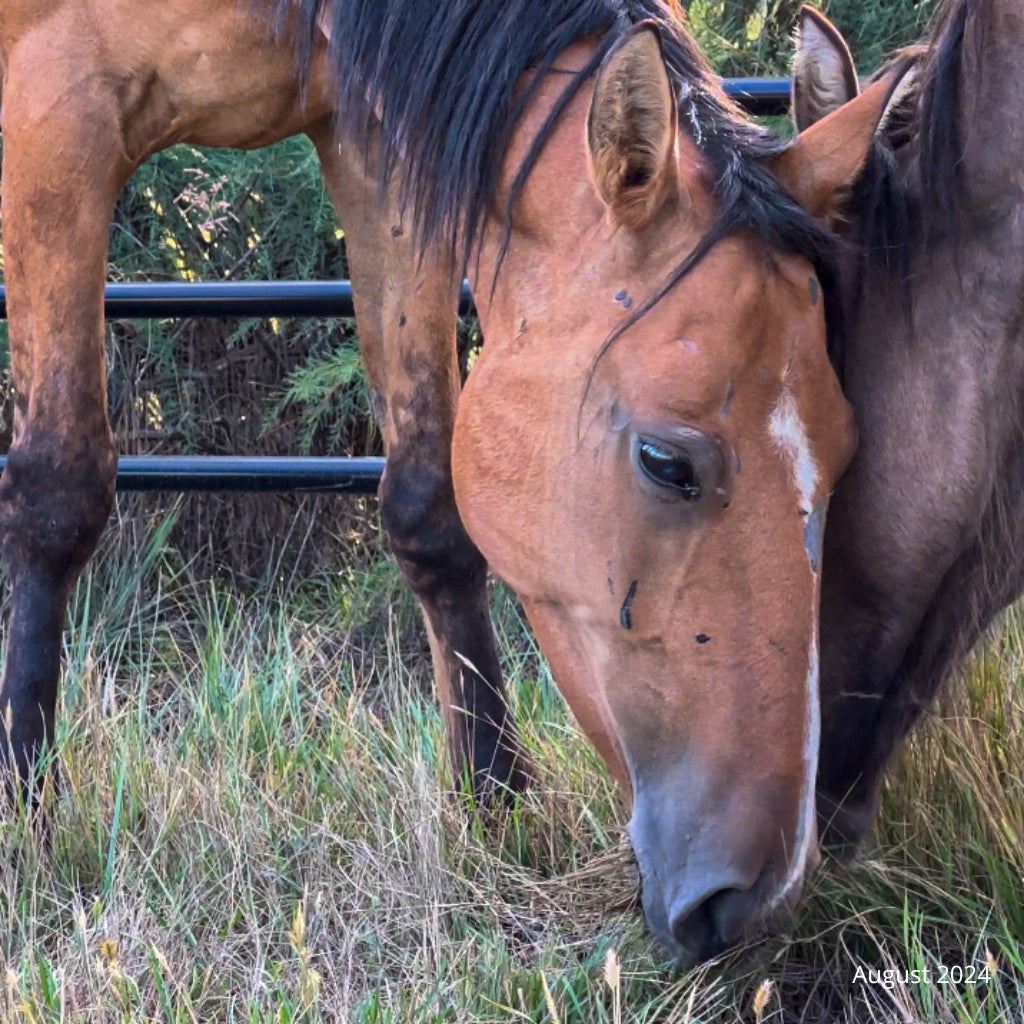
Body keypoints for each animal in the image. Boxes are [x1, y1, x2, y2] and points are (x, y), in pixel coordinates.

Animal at [0, 0, 897, 962]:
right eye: (667, 463)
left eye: (847, 451)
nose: (756, 901)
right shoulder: (57, 109)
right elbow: (59, 490)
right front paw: (26, 807)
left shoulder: (375, 148)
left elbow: (429, 501)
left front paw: (495, 803)